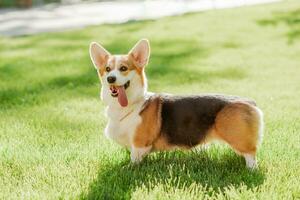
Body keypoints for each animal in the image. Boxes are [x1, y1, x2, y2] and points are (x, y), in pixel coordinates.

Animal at [88, 38, 262, 169]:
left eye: (123, 68)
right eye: (107, 69)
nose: (111, 78)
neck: (130, 105)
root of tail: (251, 103)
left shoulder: (139, 145)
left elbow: (134, 159)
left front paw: (128, 169)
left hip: (238, 139)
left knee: (251, 154)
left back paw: (250, 170)